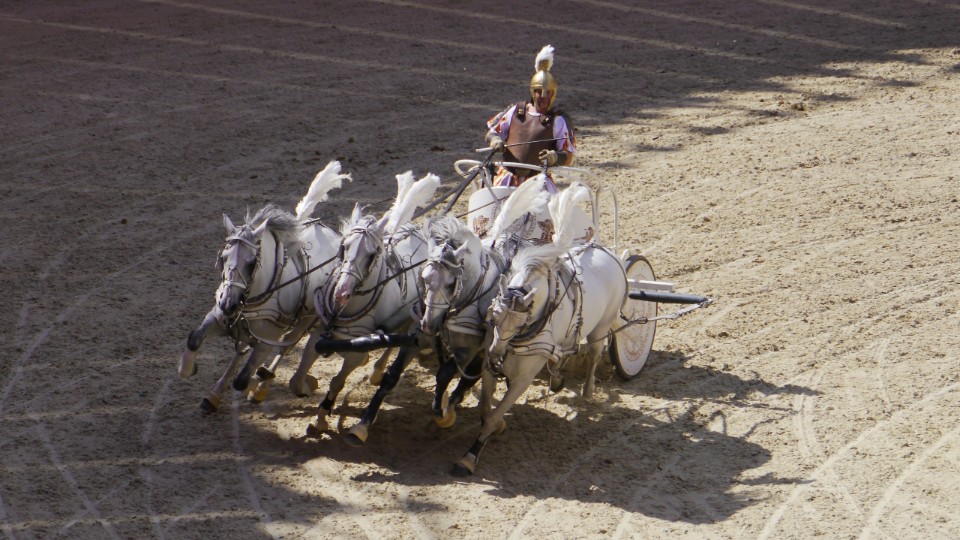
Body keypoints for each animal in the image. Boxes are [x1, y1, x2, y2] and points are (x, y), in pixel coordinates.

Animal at [177, 161, 349, 413]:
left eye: (251, 263)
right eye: (223, 257)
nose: (228, 303)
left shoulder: (269, 338)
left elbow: (243, 378)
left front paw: (255, 383)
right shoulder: (218, 317)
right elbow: (195, 338)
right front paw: (187, 370)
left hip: (307, 319)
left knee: (287, 347)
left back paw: (263, 386)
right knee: (242, 349)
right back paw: (215, 394)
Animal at [299, 171, 440, 435]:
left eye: (372, 254)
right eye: (344, 246)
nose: (342, 293)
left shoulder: (357, 349)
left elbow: (338, 380)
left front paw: (322, 415)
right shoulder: (319, 335)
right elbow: (298, 375)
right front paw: (305, 387)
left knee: (395, 340)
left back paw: (377, 371)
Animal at [344, 214, 505, 446]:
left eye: (451, 283)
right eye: (425, 278)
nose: (429, 324)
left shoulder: (467, 351)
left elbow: (444, 375)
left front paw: (443, 414)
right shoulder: (417, 339)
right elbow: (392, 376)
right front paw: (362, 425)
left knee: (469, 378)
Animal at [452, 182, 628, 476]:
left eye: (520, 322)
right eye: (493, 317)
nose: (496, 354)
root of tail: (606, 251)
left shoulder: (524, 378)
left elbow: (494, 415)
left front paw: (469, 457)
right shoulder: (488, 368)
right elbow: (485, 407)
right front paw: (494, 428)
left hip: (601, 326)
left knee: (594, 353)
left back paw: (588, 390)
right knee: (566, 350)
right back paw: (557, 378)